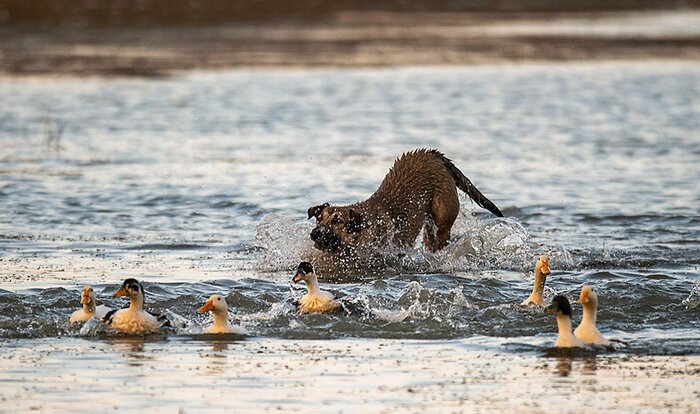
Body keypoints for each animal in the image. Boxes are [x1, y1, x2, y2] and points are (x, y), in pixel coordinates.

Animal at [308, 149, 504, 252]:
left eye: (338, 221)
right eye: (319, 218)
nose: (315, 233)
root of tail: (434, 155)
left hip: (443, 214)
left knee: (442, 234)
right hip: (427, 220)